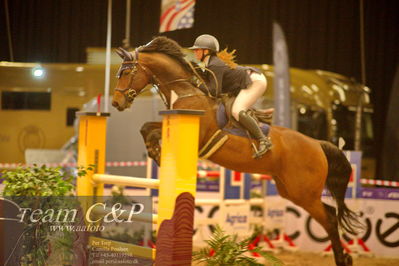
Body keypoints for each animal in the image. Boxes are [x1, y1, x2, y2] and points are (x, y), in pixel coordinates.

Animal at [111, 36, 362, 264]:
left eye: (126, 72)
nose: (116, 103)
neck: (184, 90)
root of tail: (317, 144)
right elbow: (146, 128)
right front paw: (155, 152)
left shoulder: (198, 136)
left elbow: (152, 131)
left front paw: (157, 154)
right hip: (290, 190)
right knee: (329, 214)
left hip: (304, 193)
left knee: (330, 219)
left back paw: (343, 259)